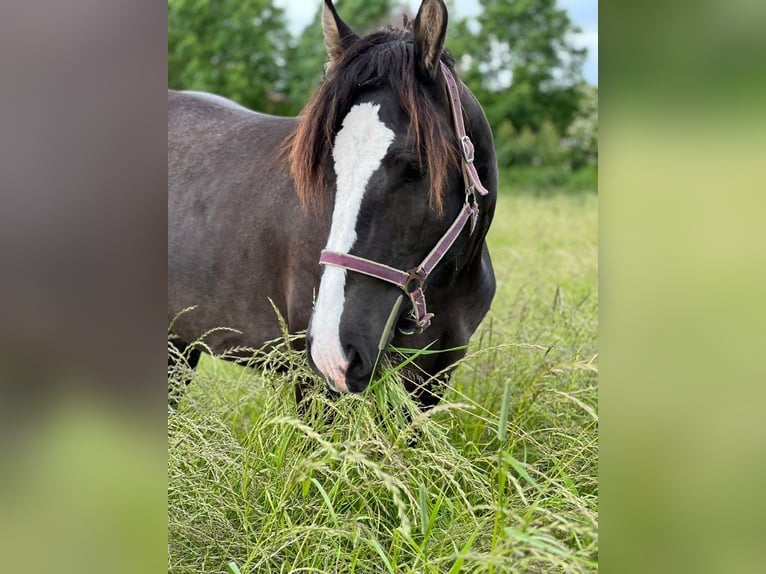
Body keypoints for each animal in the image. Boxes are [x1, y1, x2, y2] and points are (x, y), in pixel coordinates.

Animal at [170, 0, 498, 410]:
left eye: (415, 166)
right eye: (328, 165)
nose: (332, 351)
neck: (447, 283)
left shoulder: (430, 383)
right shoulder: (312, 385)